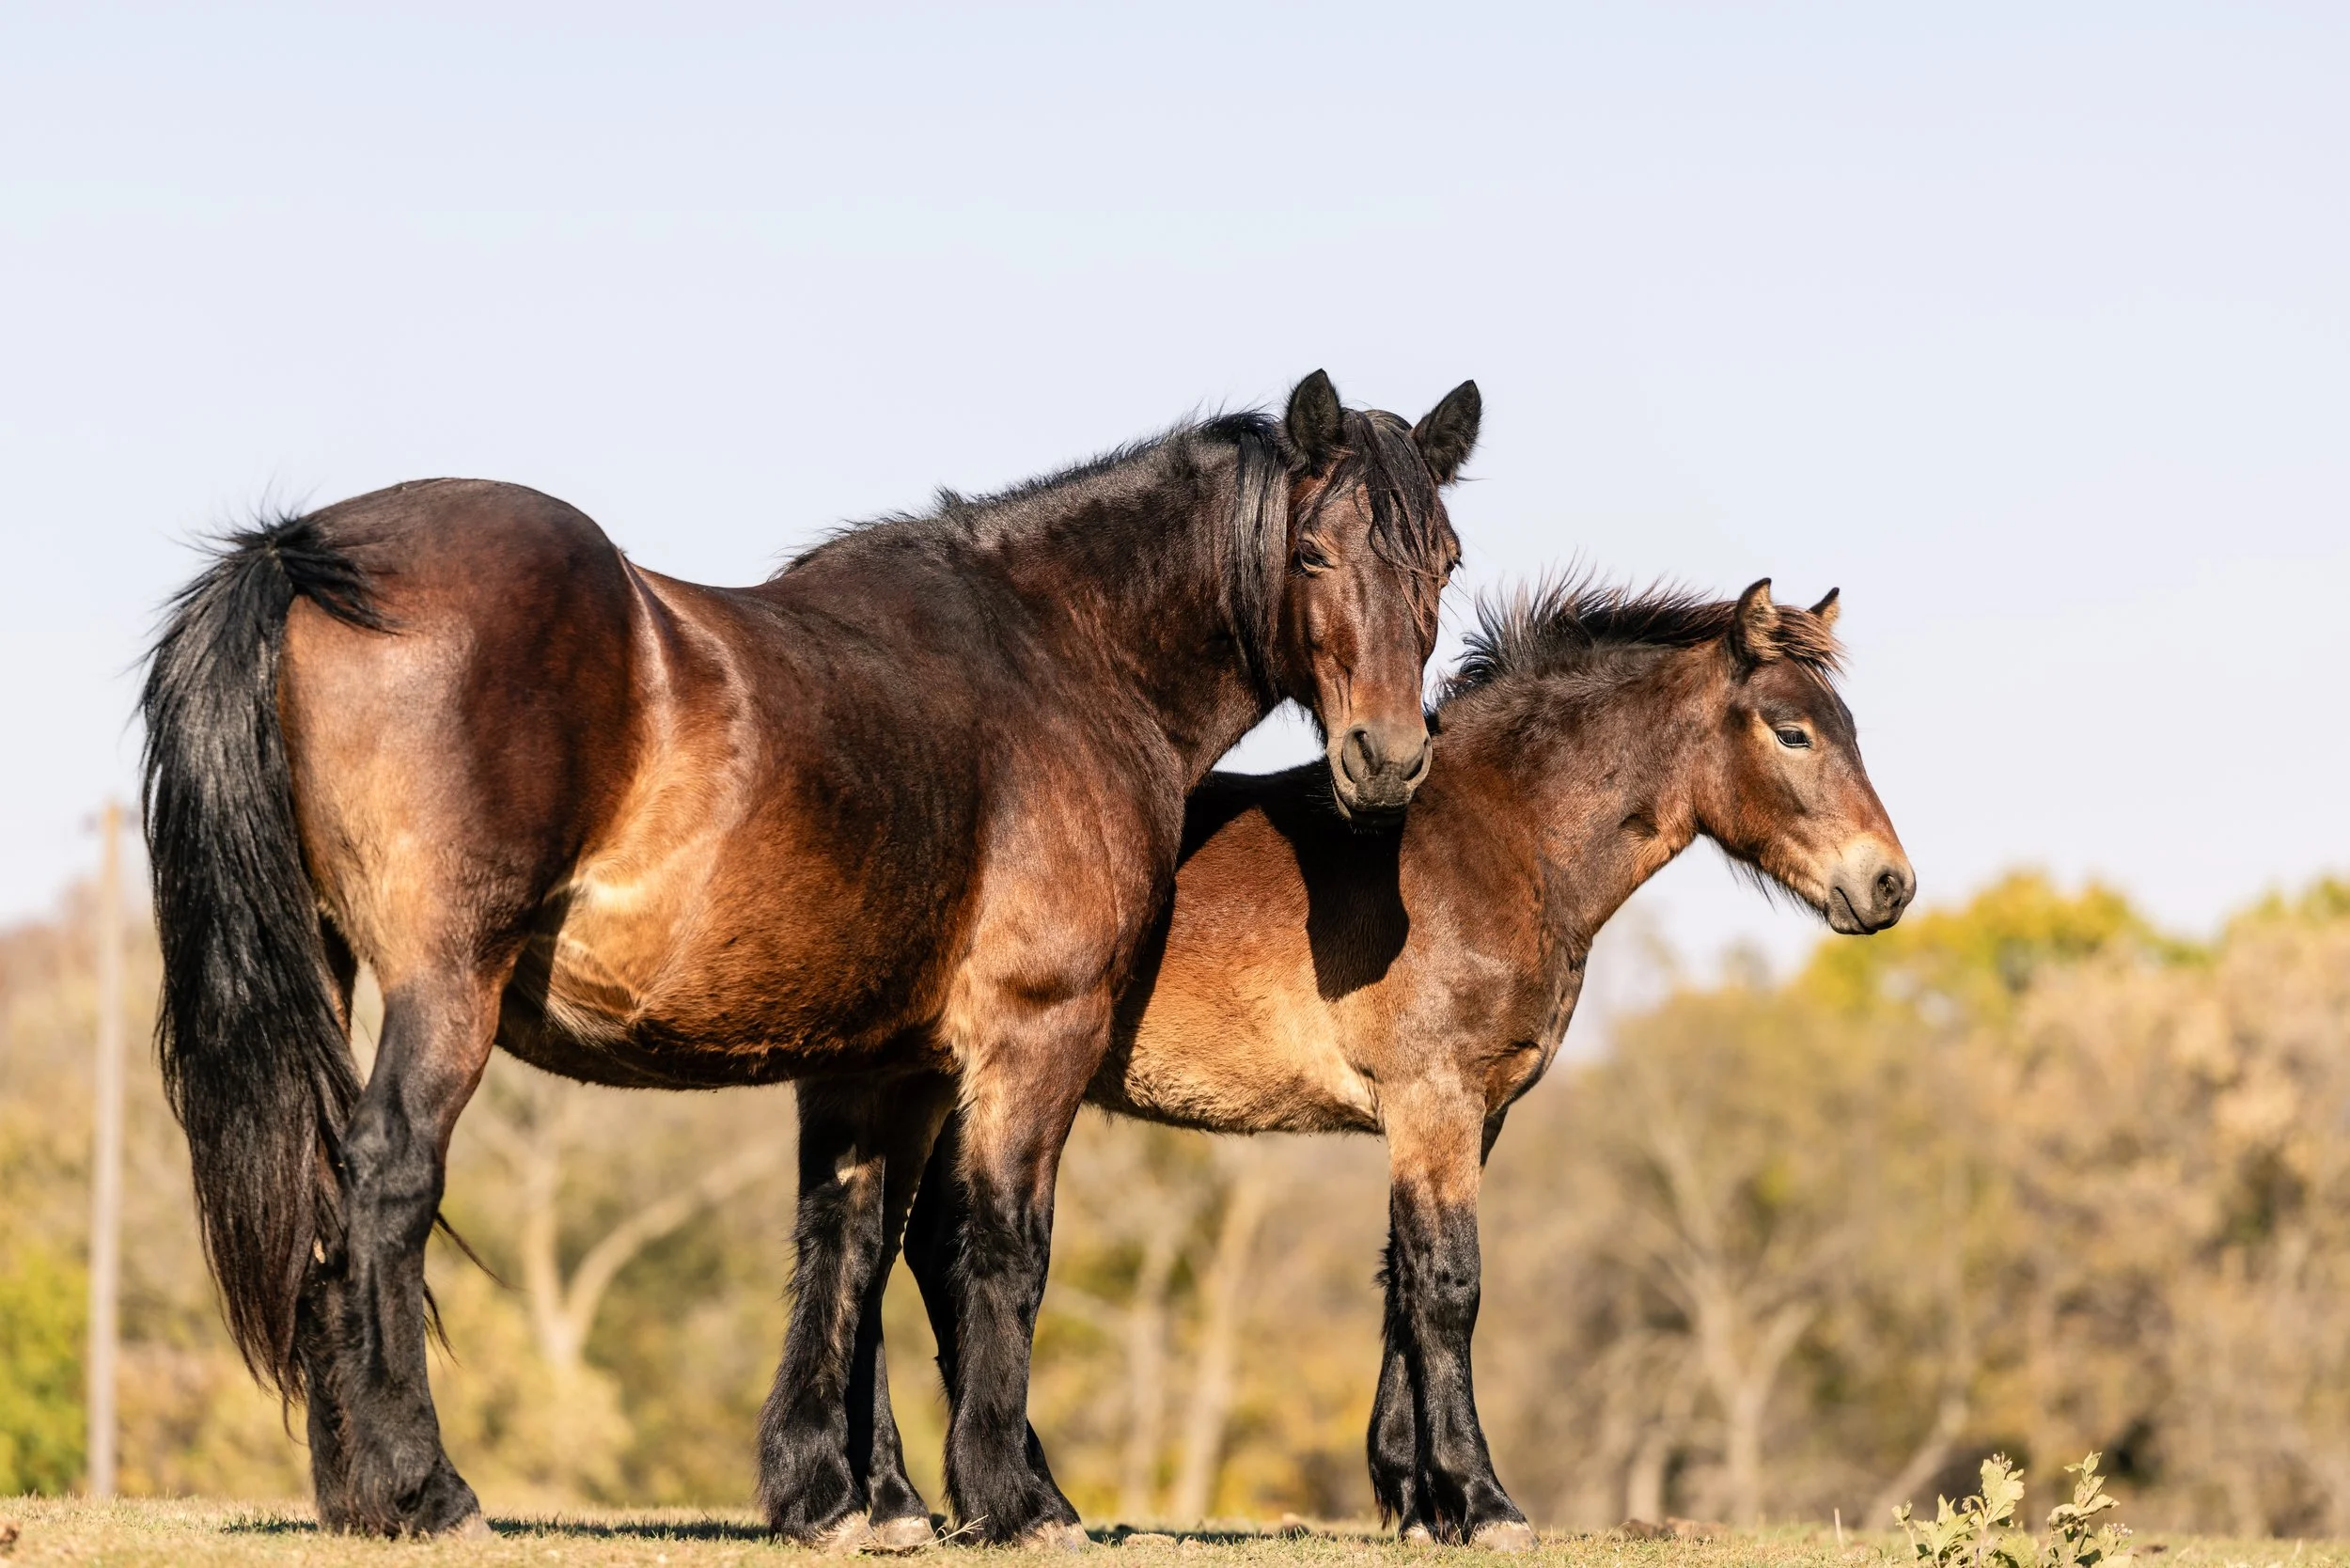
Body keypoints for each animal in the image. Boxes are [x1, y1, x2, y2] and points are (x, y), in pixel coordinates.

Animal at [139, 371, 1481, 1543]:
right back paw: (424, 1489)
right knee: (385, 1180)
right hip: (445, 987)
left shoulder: (883, 1062)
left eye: (1445, 560)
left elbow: (851, 1245)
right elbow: (996, 1248)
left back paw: (352, 1491)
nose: (1386, 761)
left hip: (328, 965)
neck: (1057, 660)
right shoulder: (1031, 1035)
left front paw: (844, 1497)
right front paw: (1010, 1500)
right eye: (1312, 553)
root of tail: (303, 550)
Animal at [857, 576, 1913, 1548]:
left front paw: (1415, 1502)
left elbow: (1403, 1279)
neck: (1495, 843)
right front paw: (1482, 1504)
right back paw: (922, 1501)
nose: (1889, 884)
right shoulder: (1432, 1099)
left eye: (1848, 730)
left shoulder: (1473, 1112)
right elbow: (1449, 1285)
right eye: (1791, 732)